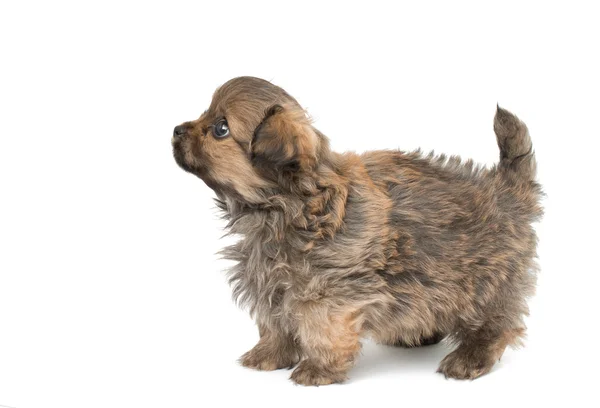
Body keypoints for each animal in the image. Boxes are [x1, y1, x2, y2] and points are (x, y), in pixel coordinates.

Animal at [172, 77, 544, 386]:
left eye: (220, 128)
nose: (176, 129)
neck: (285, 207)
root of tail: (505, 188)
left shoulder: (326, 289)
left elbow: (321, 328)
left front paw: (319, 368)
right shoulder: (267, 279)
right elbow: (274, 321)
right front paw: (270, 354)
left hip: (485, 279)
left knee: (495, 322)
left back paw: (471, 356)